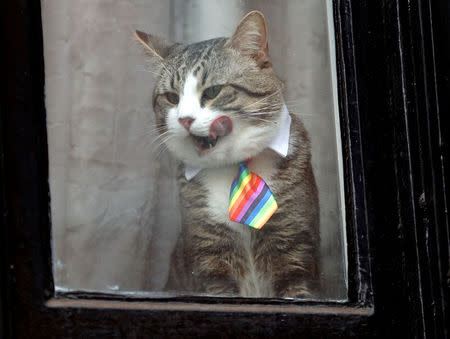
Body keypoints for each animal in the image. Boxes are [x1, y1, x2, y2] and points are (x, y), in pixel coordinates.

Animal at [134, 9, 320, 298]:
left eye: (212, 91)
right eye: (172, 98)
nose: (185, 119)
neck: (232, 167)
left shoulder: (293, 243)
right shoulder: (210, 254)